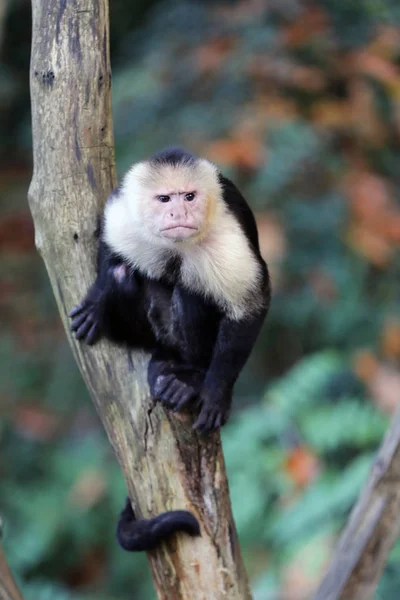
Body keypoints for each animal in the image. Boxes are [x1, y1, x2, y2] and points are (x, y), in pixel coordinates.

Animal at [69, 148, 272, 552]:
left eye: (189, 196)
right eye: (165, 199)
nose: (179, 214)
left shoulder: (228, 238)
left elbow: (250, 306)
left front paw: (214, 392)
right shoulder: (125, 216)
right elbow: (110, 248)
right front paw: (97, 300)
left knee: (193, 287)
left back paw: (187, 376)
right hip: (152, 332)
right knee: (125, 272)